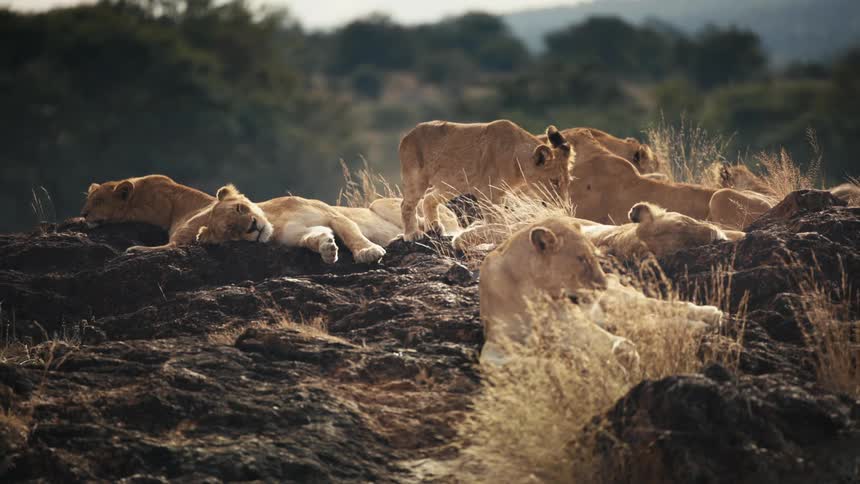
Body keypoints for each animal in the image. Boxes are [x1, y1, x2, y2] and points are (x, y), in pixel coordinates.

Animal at [196, 185, 386, 264]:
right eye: (231, 231)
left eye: (239, 208)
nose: (253, 226)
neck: (276, 221)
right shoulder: (297, 235)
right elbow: (312, 238)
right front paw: (327, 249)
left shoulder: (333, 215)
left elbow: (352, 235)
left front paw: (367, 251)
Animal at [399, 120, 573, 241]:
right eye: (554, 181)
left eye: (567, 182)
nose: (563, 206)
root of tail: (407, 135)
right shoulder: (487, 193)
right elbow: (496, 220)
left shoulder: (499, 194)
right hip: (417, 179)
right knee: (406, 204)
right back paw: (412, 234)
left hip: (451, 185)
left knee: (428, 198)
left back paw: (435, 226)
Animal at [479, 216, 722, 367]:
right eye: (582, 259)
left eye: (594, 256)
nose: (603, 285)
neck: (529, 288)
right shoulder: (497, 340)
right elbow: (489, 361)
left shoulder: (568, 318)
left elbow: (601, 340)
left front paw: (623, 355)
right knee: (655, 321)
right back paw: (698, 327)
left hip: (620, 301)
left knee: (668, 307)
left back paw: (711, 314)